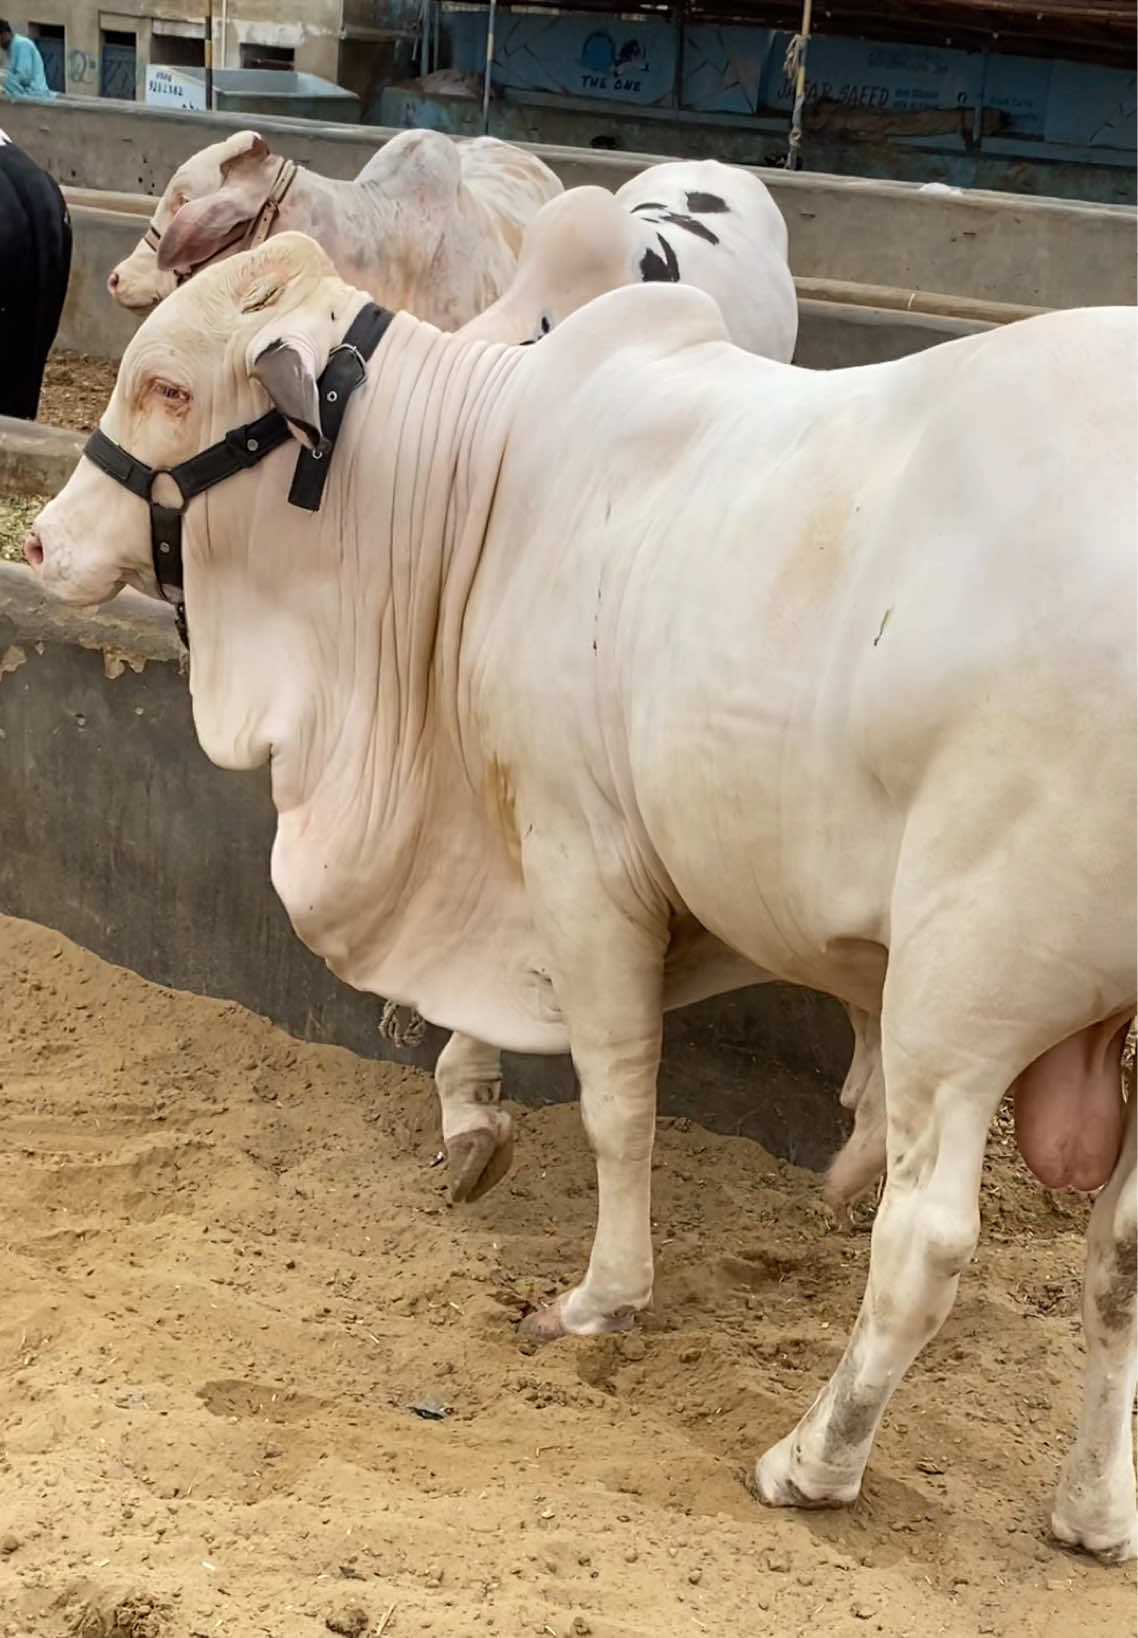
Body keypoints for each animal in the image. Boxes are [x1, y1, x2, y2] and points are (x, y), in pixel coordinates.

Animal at [26, 234, 1136, 1562]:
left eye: (170, 387)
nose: (37, 543)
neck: (477, 493)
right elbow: (474, 1034)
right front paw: (471, 1130)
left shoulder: (577, 854)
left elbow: (615, 1102)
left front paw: (602, 1296)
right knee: (1119, 1258)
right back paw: (1091, 1510)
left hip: (960, 991)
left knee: (923, 1241)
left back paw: (814, 1460)